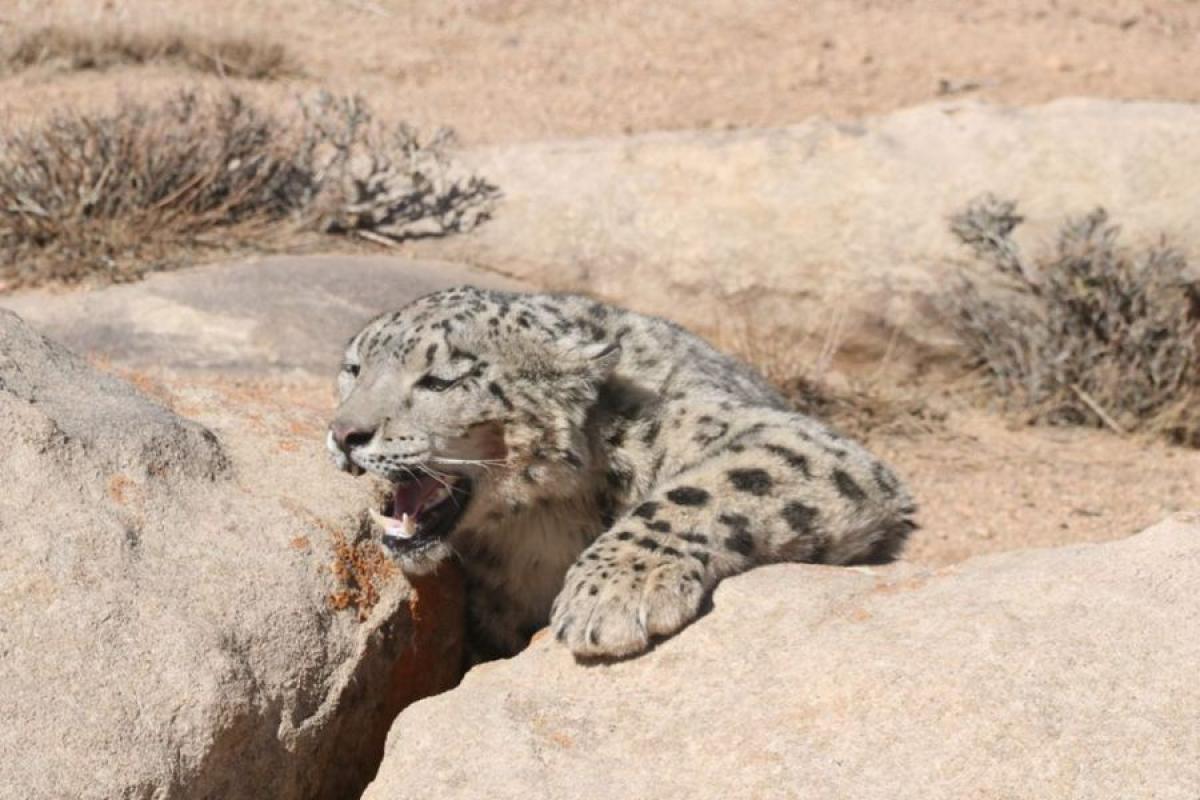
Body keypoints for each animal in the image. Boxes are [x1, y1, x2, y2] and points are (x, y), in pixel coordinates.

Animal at [328, 287, 916, 662]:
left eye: (441, 380)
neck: (538, 529)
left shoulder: (800, 442)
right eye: (353, 368)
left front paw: (611, 593)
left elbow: (701, 491)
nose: (344, 433)